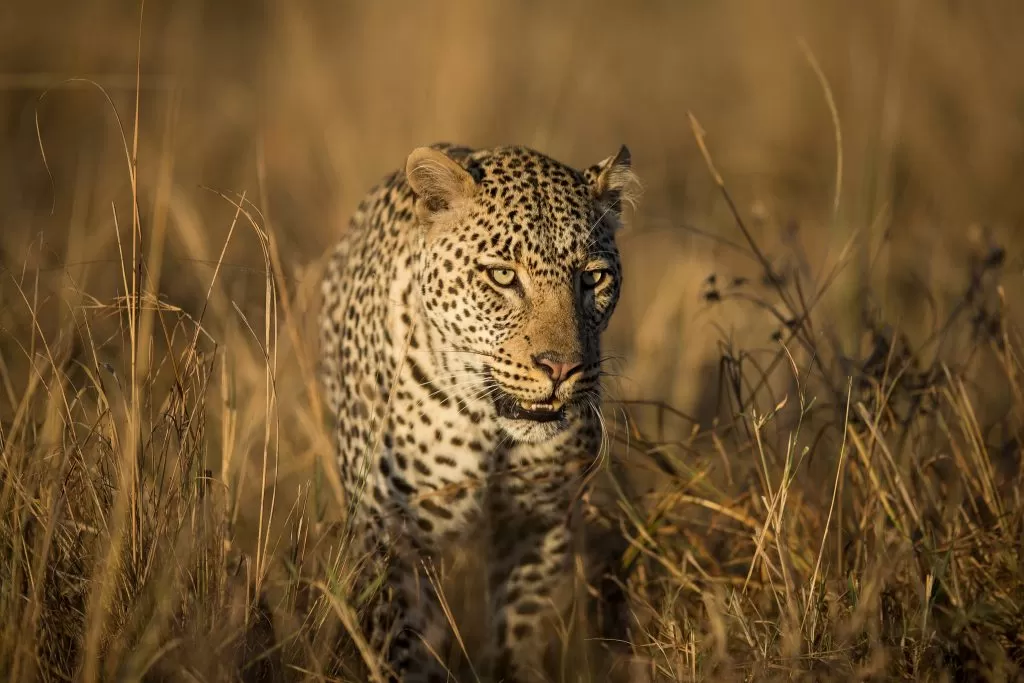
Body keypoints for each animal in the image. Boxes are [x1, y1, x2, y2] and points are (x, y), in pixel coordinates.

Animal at [319, 141, 638, 679]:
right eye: (503, 276)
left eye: (592, 277)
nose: (561, 368)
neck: (491, 428)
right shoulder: (394, 535)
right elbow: (402, 643)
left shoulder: (540, 525)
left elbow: (521, 633)